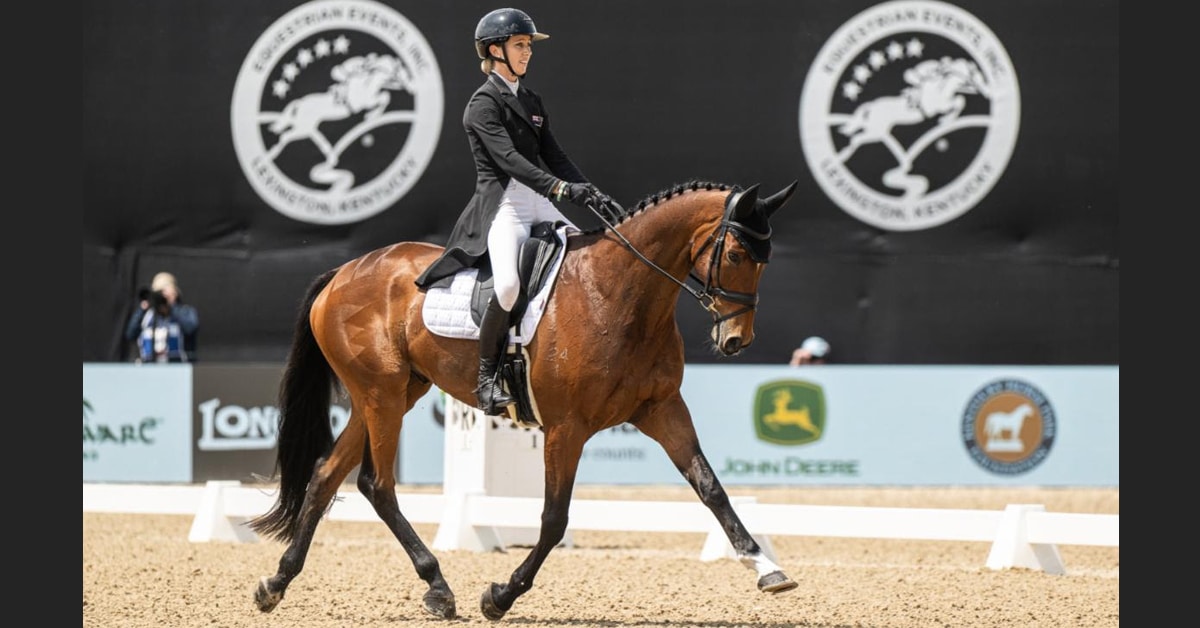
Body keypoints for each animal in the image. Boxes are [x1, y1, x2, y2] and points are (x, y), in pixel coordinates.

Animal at [248, 179, 801, 621]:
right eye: (736, 256)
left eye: (766, 262)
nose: (737, 341)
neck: (619, 294)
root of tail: (343, 271)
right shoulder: (566, 428)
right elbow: (554, 520)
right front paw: (500, 596)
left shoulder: (663, 409)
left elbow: (712, 489)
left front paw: (767, 568)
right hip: (381, 394)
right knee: (377, 485)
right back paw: (439, 588)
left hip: (393, 393)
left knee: (325, 476)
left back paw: (276, 583)